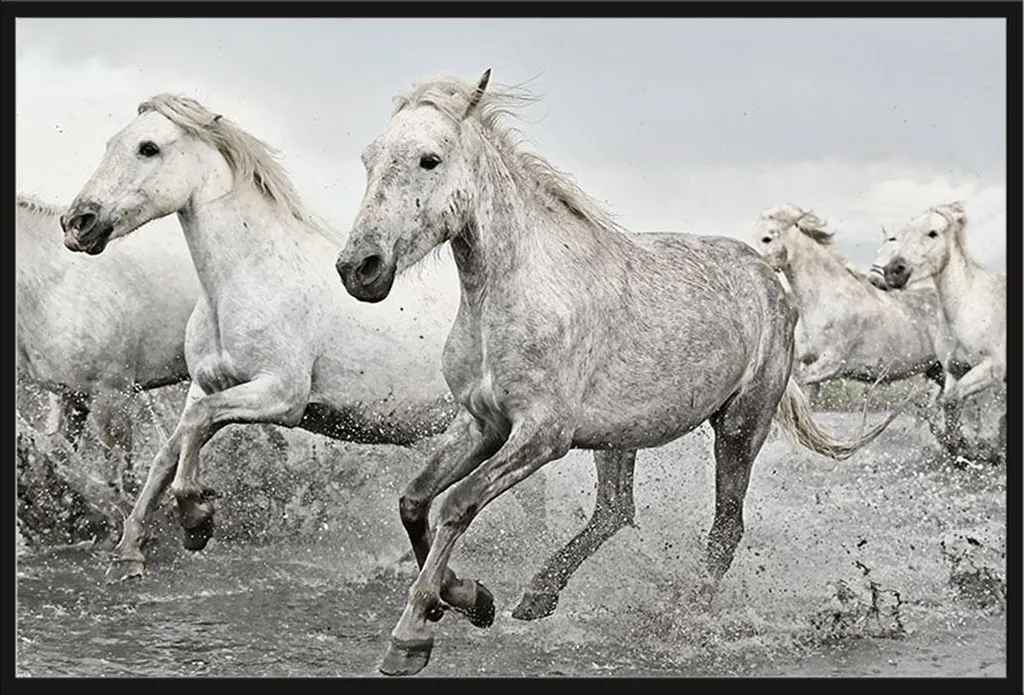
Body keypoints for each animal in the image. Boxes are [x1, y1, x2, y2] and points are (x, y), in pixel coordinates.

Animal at [57, 93, 644, 604]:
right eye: (114, 142)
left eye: (148, 148)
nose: (78, 222)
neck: (243, 277)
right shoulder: (204, 385)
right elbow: (169, 452)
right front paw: (129, 556)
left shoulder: (281, 396)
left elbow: (198, 431)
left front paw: (197, 521)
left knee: (601, 510)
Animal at [335, 70, 912, 676]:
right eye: (369, 158)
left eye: (430, 159)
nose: (360, 268)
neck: (513, 293)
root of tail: (770, 282)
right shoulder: (481, 423)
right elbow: (414, 501)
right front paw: (475, 600)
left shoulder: (541, 435)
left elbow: (456, 504)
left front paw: (412, 636)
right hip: (617, 436)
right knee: (615, 511)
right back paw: (538, 596)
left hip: (739, 428)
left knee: (725, 527)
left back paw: (685, 618)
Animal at [869, 200, 1006, 453]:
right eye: (903, 235)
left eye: (932, 233)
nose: (893, 271)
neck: (966, 309)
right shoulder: (954, 370)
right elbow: (950, 406)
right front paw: (956, 445)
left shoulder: (991, 369)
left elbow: (951, 400)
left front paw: (965, 448)